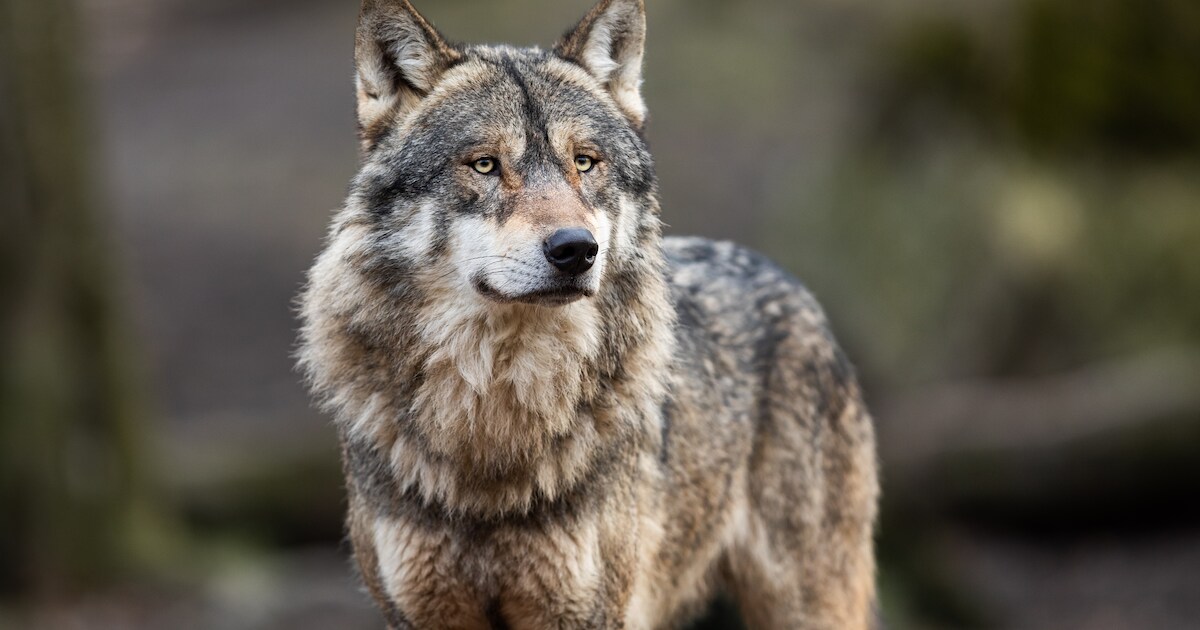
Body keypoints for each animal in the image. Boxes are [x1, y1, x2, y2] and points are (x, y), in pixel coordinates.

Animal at [297, 0, 879, 628]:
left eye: (584, 162)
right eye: (484, 165)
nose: (576, 249)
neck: (495, 422)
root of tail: (784, 278)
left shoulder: (585, 611)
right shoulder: (419, 613)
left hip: (805, 603)